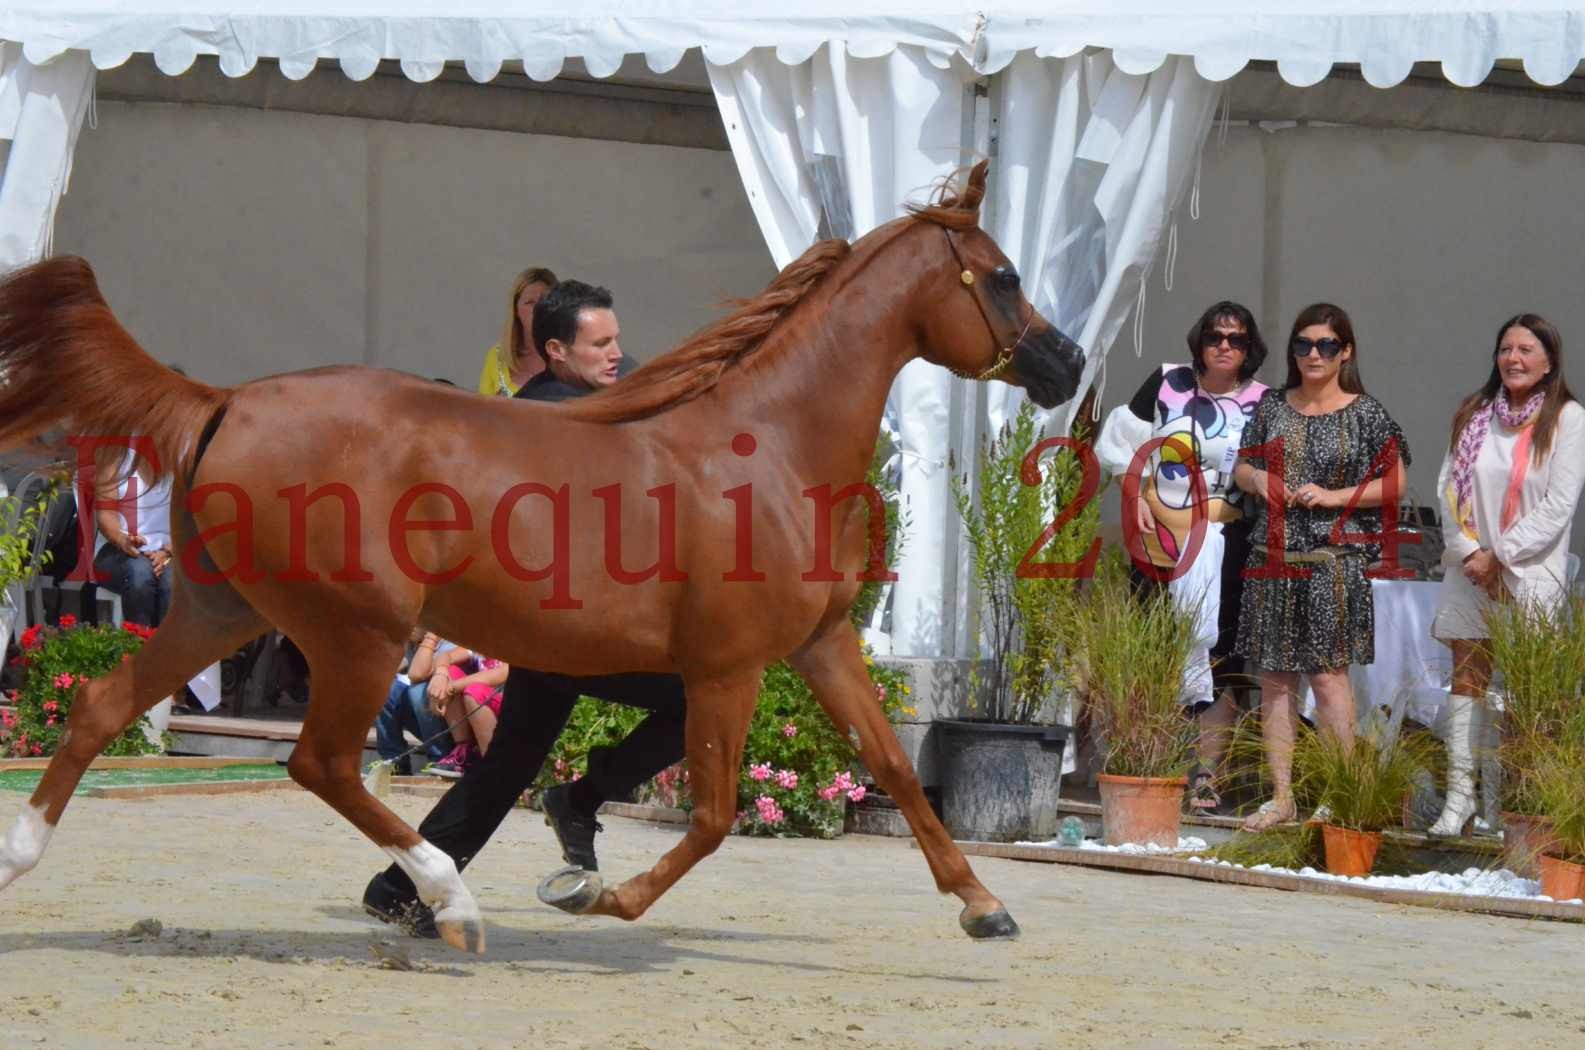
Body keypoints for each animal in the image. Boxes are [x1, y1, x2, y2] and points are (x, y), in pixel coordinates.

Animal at [0, 162, 1084, 951]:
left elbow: (893, 767)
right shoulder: (727, 668)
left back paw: (20, 856)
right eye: (1000, 275)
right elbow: (712, 815)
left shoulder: (817, 648)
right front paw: (592, 894)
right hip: (357, 633)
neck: (772, 447)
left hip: (222, 609)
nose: (1065, 364)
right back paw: (449, 904)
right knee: (323, 763)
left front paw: (983, 905)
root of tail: (223, 401)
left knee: (102, 705)